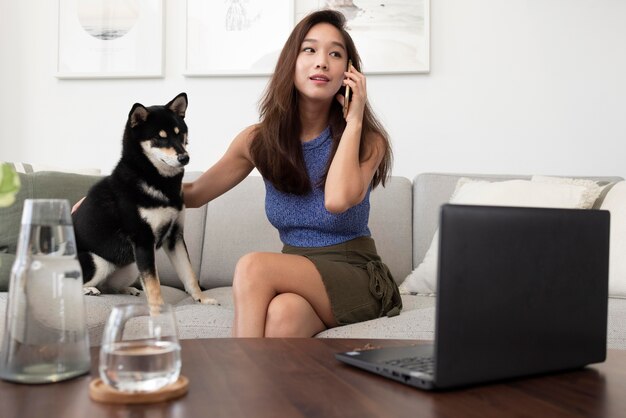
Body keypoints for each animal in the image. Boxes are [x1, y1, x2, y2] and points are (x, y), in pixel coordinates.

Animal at [70, 93, 216, 306]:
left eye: (179, 134)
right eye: (159, 137)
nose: (184, 158)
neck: (158, 181)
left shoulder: (174, 238)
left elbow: (188, 274)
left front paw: (202, 298)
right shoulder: (143, 241)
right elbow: (154, 283)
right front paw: (159, 308)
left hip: (131, 265)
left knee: (110, 287)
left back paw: (127, 289)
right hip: (98, 261)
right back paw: (89, 289)